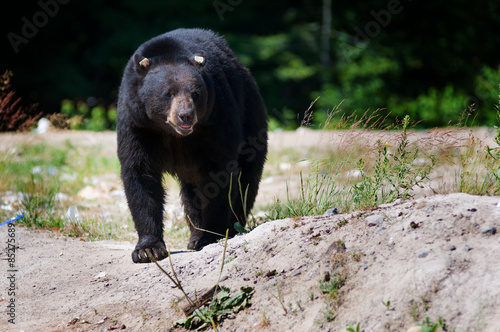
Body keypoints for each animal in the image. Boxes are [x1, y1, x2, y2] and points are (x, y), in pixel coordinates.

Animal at [116, 27, 268, 262]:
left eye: (195, 93)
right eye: (168, 93)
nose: (185, 115)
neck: (172, 134)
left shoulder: (215, 119)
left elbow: (219, 174)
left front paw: (210, 236)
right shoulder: (137, 125)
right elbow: (140, 176)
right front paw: (147, 249)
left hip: (250, 116)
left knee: (246, 180)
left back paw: (229, 227)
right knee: (192, 194)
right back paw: (195, 233)